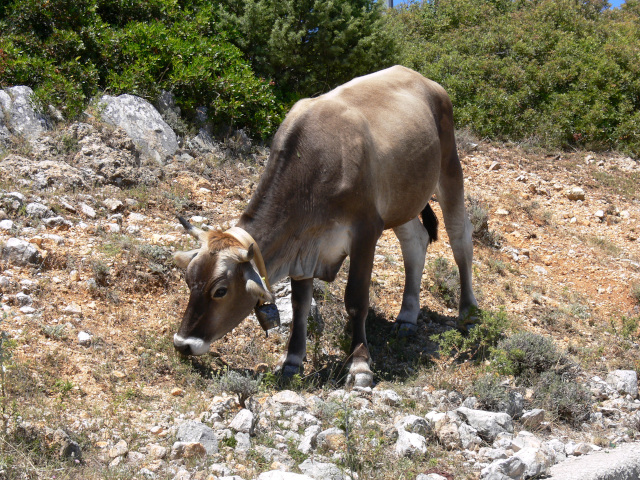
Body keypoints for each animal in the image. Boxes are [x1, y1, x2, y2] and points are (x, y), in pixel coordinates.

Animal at [172, 65, 478, 386]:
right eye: (188, 279)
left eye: (220, 290)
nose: (183, 344)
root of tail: (424, 79)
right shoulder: (304, 247)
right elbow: (300, 305)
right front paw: (292, 361)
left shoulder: (366, 229)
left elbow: (356, 299)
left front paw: (359, 364)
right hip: (402, 201)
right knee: (415, 242)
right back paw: (407, 316)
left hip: (449, 167)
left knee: (460, 239)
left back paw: (469, 313)